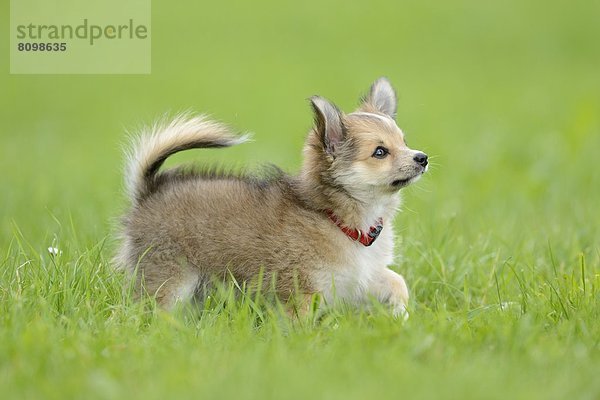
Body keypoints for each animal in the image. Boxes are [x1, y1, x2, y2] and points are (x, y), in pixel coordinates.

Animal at [115, 77, 426, 316]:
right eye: (380, 152)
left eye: (404, 142)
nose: (422, 157)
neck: (340, 220)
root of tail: (149, 190)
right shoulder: (302, 290)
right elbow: (301, 322)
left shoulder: (360, 278)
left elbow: (397, 282)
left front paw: (400, 315)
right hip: (168, 279)